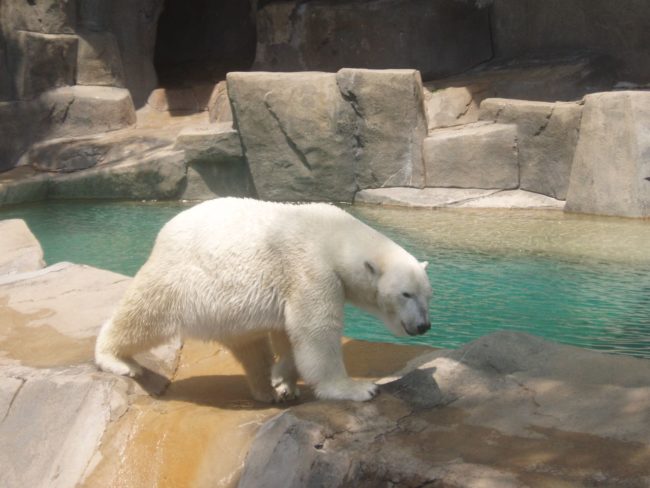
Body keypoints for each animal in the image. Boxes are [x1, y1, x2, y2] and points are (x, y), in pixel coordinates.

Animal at [95, 197, 432, 402]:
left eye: (428, 295)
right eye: (405, 294)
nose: (424, 326)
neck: (334, 237)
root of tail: (164, 231)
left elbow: (287, 332)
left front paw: (284, 381)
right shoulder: (310, 270)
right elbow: (316, 331)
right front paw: (358, 388)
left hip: (227, 307)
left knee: (250, 344)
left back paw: (265, 390)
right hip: (179, 279)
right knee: (143, 317)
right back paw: (117, 360)